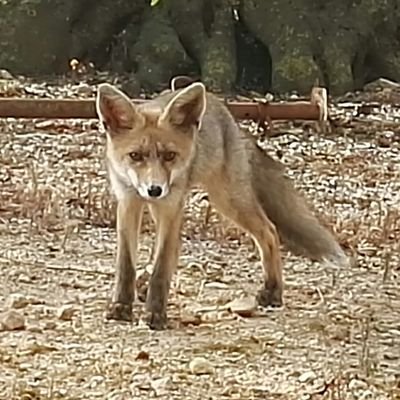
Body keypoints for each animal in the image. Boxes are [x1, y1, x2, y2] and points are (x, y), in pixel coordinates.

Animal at [95, 79, 348, 330]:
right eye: (135, 156)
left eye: (169, 156)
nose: (154, 190)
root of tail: (223, 109)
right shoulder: (128, 201)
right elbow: (126, 264)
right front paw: (120, 307)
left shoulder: (171, 207)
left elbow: (162, 266)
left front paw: (155, 314)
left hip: (227, 200)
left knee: (270, 231)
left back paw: (273, 291)